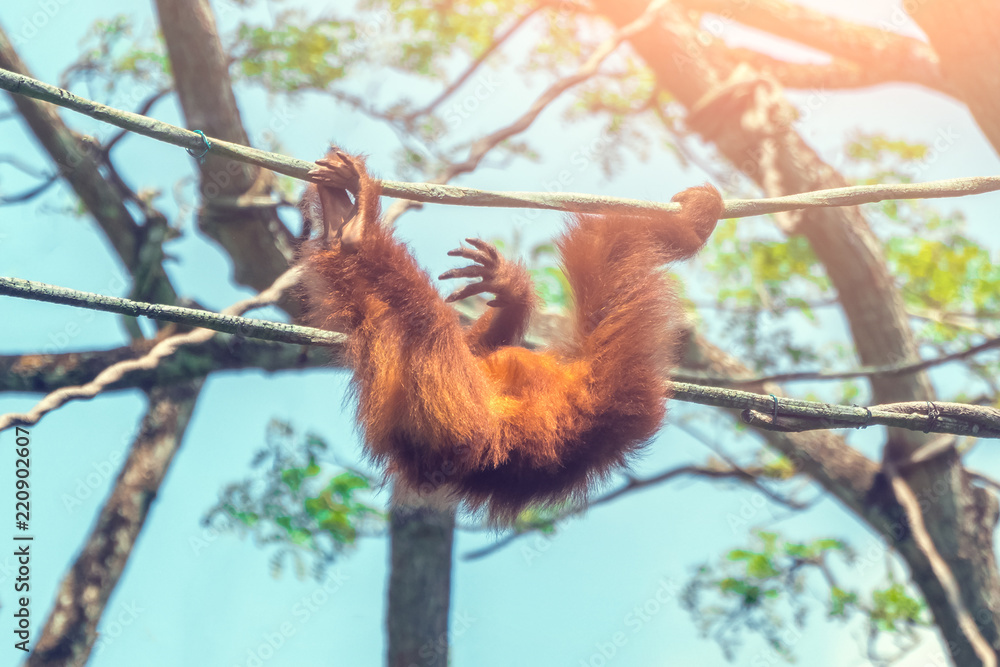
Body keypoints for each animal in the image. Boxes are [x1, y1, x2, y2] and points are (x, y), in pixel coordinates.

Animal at [299, 149, 723, 521]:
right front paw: (510, 288)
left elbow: (610, 246)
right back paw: (343, 220)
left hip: (450, 402)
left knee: (424, 318)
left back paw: (357, 230)